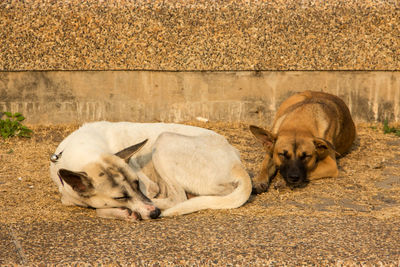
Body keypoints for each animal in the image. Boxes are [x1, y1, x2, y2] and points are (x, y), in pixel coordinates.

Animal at [48, 122, 252, 221]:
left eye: (137, 184)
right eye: (120, 197)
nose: (154, 213)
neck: (85, 150)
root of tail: (236, 162)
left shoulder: (149, 186)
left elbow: (100, 209)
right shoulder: (67, 196)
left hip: (164, 140)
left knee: (178, 198)